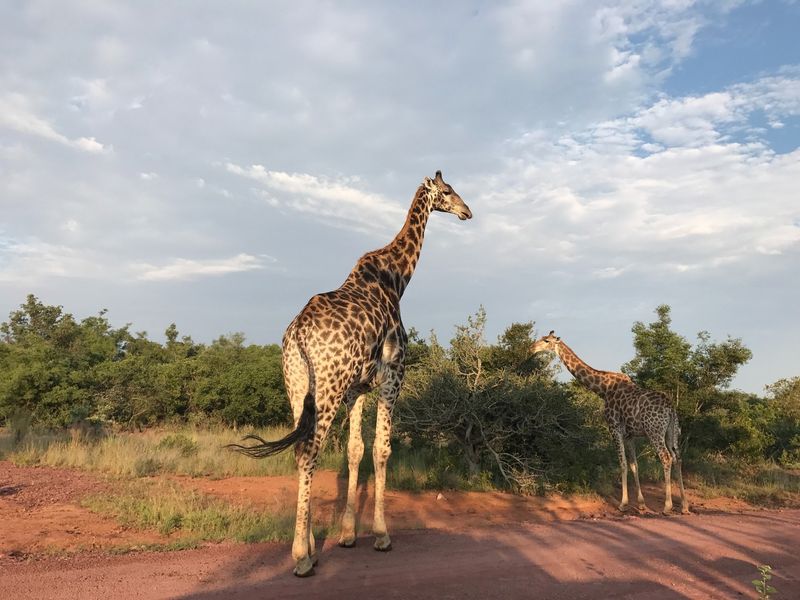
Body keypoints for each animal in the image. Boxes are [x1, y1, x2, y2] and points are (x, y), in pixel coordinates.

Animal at [228, 171, 472, 576]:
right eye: (449, 191)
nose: (468, 211)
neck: (396, 278)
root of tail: (297, 335)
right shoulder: (394, 375)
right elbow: (382, 449)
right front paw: (382, 535)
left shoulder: (357, 389)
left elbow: (355, 450)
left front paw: (346, 534)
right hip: (327, 388)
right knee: (309, 451)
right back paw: (301, 557)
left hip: (298, 387)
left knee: (301, 448)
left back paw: (311, 546)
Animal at [531, 331, 689, 515]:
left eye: (546, 341)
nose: (531, 348)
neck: (603, 389)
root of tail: (671, 408)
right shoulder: (630, 435)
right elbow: (634, 465)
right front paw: (641, 504)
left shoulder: (614, 427)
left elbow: (622, 463)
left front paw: (623, 504)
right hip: (672, 431)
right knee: (677, 458)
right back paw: (684, 506)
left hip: (654, 431)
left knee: (666, 457)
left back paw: (667, 506)